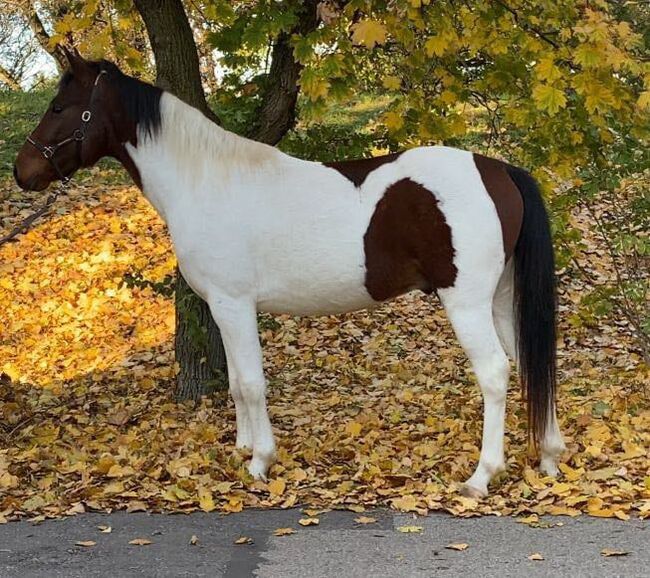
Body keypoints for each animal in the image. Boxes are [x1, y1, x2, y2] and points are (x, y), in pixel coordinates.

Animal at [12, 50, 564, 496]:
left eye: (59, 107)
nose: (22, 172)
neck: (207, 180)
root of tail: (498, 170)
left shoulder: (234, 305)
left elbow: (252, 382)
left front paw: (261, 462)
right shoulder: (222, 308)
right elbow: (237, 383)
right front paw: (242, 449)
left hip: (465, 303)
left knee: (495, 372)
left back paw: (482, 476)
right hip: (500, 300)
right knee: (531, 363)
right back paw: (549, 456)